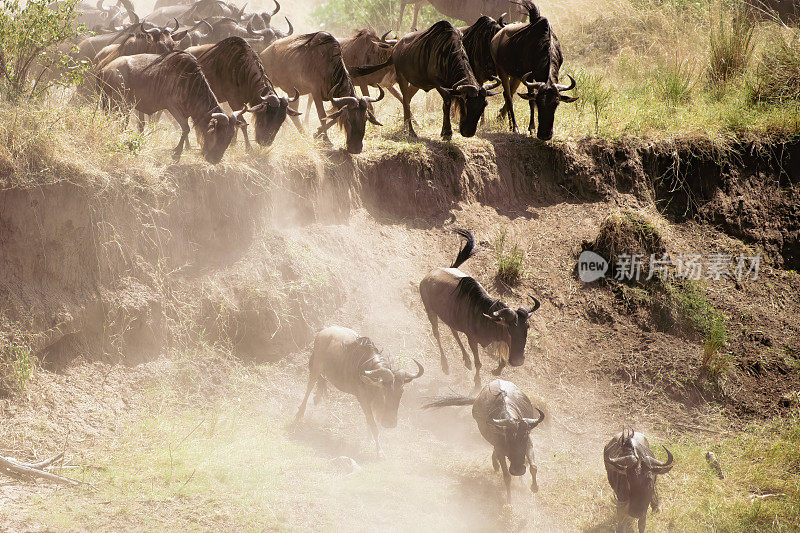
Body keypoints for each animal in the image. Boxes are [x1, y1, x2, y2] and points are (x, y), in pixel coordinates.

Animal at [294, 324, 424, 458]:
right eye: (384, 391)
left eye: (401, 392)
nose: (390, 423)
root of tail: (322, 332)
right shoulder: (363, 400)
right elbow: (373, 425)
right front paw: (379, 451)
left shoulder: (372, 402)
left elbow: (369, 422)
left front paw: (369, 440)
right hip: (316, 368)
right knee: (309, 387)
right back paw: (299, 415)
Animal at [418, 228, 544, 386]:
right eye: (509, 330)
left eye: (527, 327)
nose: (518, 361)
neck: (483, 314)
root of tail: (428, 277)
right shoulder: (473, 340)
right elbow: (479, 363)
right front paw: (477, 383)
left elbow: (502, 361)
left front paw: (496, 370)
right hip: (430, 311)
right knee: (437, 334)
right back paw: (445, 365)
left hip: (449, 316)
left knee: (453, 330)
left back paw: (466, 360)